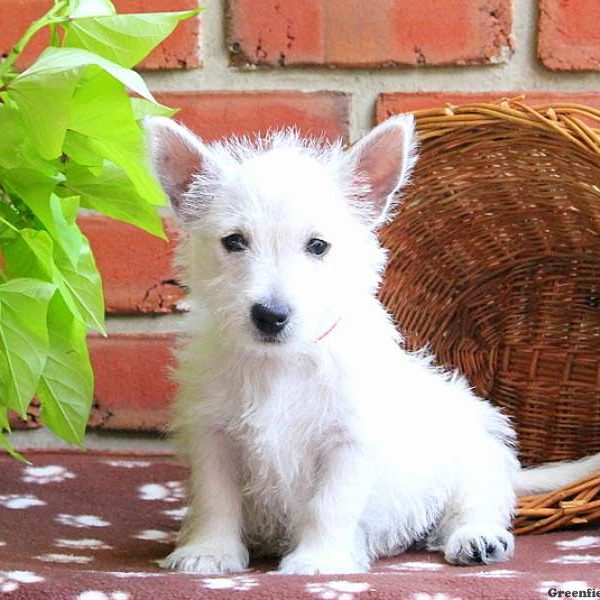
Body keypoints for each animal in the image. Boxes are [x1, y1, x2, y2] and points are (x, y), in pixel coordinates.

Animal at [145, 115, 600, 576]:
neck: (282, 364)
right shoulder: (214, 436)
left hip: (472, 457)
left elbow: (329, 504)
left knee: (478, 503)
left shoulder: (349, 440)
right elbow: (216, 498)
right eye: (234, 241)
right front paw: (209, 551)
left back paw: (476, 538)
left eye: (317, 245)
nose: (270, 315)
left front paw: (319, 560)